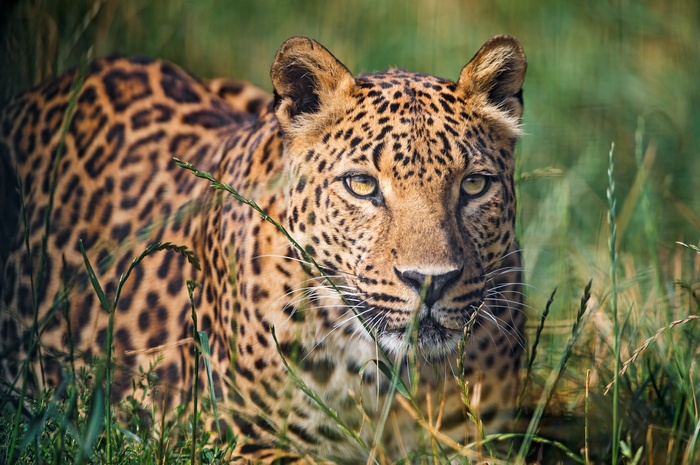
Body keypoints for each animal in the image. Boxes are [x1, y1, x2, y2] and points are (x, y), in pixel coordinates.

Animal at [0, 35, 527, 463]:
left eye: (474, 185)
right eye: (361, 185)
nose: (430, 281)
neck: (393, 380)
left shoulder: (492, 440)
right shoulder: (238, 440)